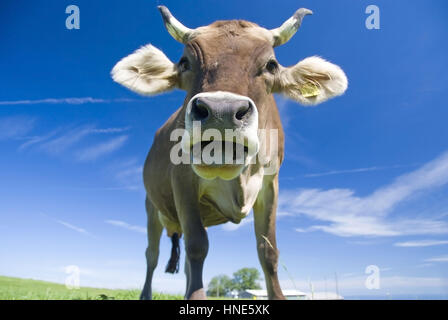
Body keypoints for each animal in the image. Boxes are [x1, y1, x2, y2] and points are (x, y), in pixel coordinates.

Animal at [111, 5, 346, 300]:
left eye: (271, 65)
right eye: (185, 62)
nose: (220, 112)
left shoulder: (270, 185)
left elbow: (268, 251)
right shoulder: (182, 178)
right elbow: (197, 245)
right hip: (151, 206)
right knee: (152, 255)